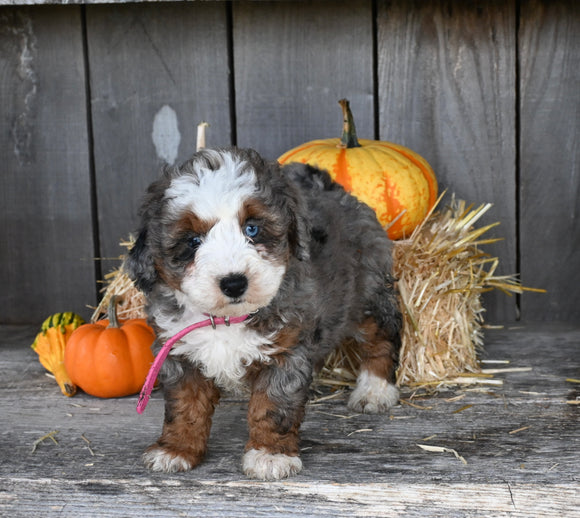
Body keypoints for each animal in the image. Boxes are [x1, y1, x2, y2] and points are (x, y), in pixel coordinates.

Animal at [125, 147, 402, 484]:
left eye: (252, 229)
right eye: (193, 241)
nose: (233, 282)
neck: (226, 320)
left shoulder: (284, 353)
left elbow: (273, 406)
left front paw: (270, 455)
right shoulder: (181, 354)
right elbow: (185, 406)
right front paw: (177, 449)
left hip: (367, 291)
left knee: (382, 336)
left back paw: (375, 390)